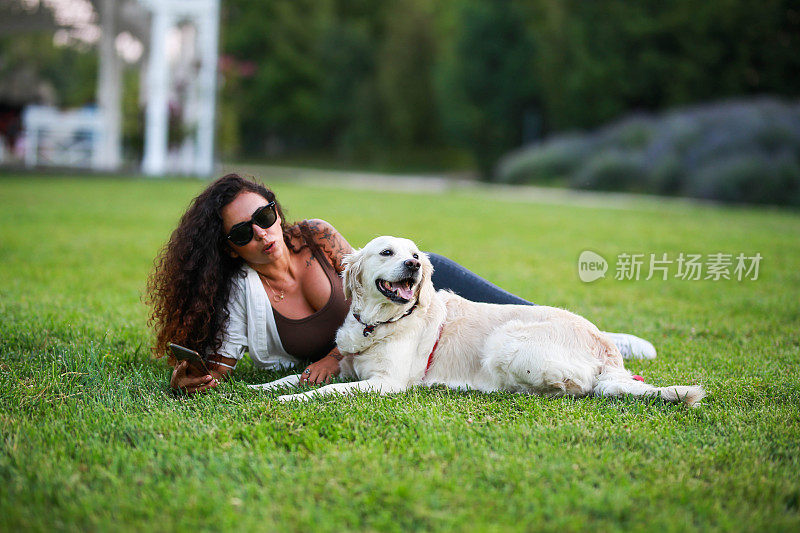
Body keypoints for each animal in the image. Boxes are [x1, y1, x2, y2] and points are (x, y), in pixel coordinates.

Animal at [253, 235, 704, 406]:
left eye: (414, 254)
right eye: (387, 252)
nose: (414, 264)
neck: (379, 324)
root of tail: (605, 346)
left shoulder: (386, 383)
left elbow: (325, 392)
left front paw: (292, 400)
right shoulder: (347, 366)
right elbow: (297, 377)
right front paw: (263, 386)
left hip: (506, 340)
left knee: (574, 387)